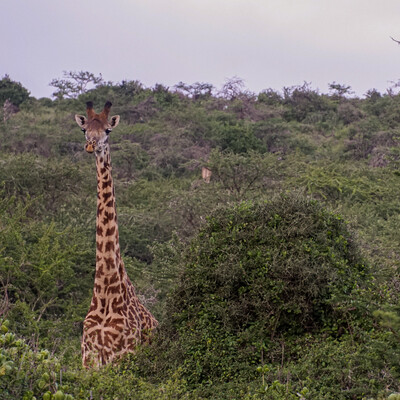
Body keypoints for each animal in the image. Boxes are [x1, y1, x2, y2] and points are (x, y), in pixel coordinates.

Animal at [74, 101, 158, 368]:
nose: (91, 145)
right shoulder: (88, 359)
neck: (104, 293)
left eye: (108, 131)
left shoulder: (124, 356)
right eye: (84, 130)